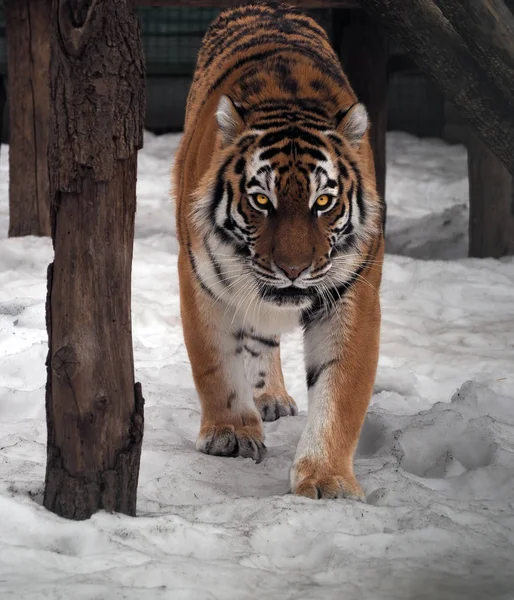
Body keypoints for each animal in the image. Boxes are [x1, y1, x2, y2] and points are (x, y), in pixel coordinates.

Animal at [170, 1, 382, 502]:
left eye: (322, 202)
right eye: (261, 200)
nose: (293, 269)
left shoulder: (354, 292)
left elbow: (341, 390)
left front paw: (326, 479)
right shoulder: (201, 281)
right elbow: (216, 363)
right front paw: (231, 434)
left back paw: (272, 398)